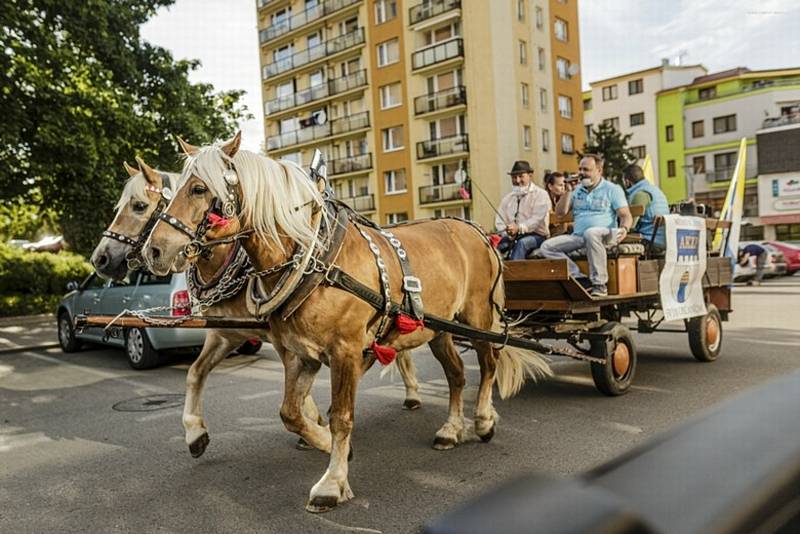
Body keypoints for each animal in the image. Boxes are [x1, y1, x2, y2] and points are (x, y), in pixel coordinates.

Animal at [87, 155, 422, 460]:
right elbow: (196, 372)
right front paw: (195, 433)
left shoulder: (281, 337)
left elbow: (298, 387)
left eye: (138, 206)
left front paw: (316, 428)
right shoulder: (226, 334)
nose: (100, 258)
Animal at [141, 134, 548, 516]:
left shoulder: (346, 351)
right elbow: (290, 412)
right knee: (457, 374)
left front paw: (332, 482)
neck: (313, 259)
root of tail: (478, 231)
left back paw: (482, 420)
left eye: (198, 189)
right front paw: (324, 444)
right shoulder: (299, 353)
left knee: (489, 364)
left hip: (477, 316)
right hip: (439, 329)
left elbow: (342, 417)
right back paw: (450, 429)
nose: (154, 251)